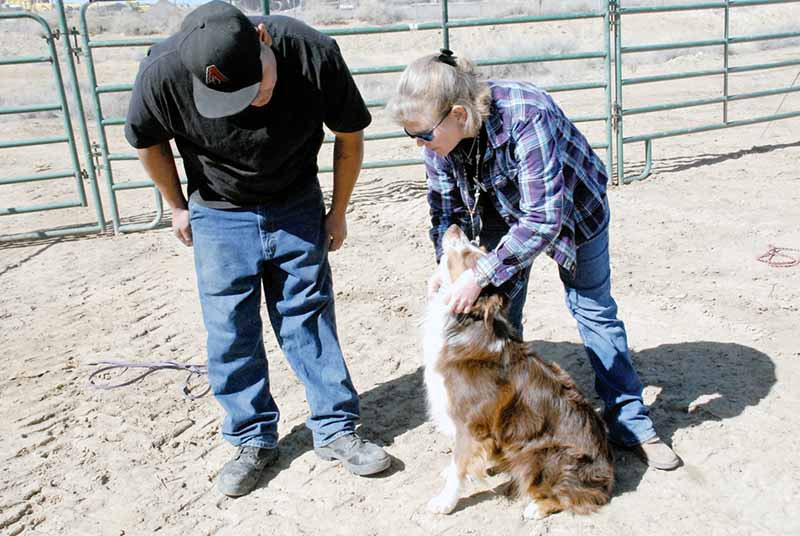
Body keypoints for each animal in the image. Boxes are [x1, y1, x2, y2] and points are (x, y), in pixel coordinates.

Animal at [422, 224, 616, 516]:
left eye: (469, 253)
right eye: (476, 247)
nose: (455, 227)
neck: (464, 325)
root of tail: (607, 476)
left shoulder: (470, 424)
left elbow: (459, 465)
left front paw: (445, 501)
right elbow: (458, 461)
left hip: (541, 453)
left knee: (575, 497)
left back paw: (537, 508)